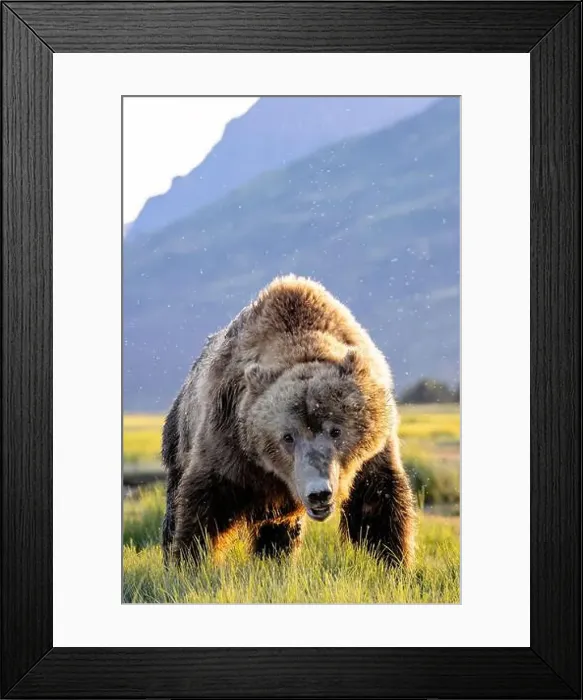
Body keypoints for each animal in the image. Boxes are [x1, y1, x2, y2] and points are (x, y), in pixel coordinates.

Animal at [162, 275, 415, 568]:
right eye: (287, 436)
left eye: (336, 430)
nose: (319, 493)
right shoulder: (228, 437)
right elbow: (206, 504)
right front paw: (190, 562)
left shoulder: (373, 451)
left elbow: (376, 503)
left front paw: (394, 563)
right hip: (179, 438)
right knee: (175, 502)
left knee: (280, 530)